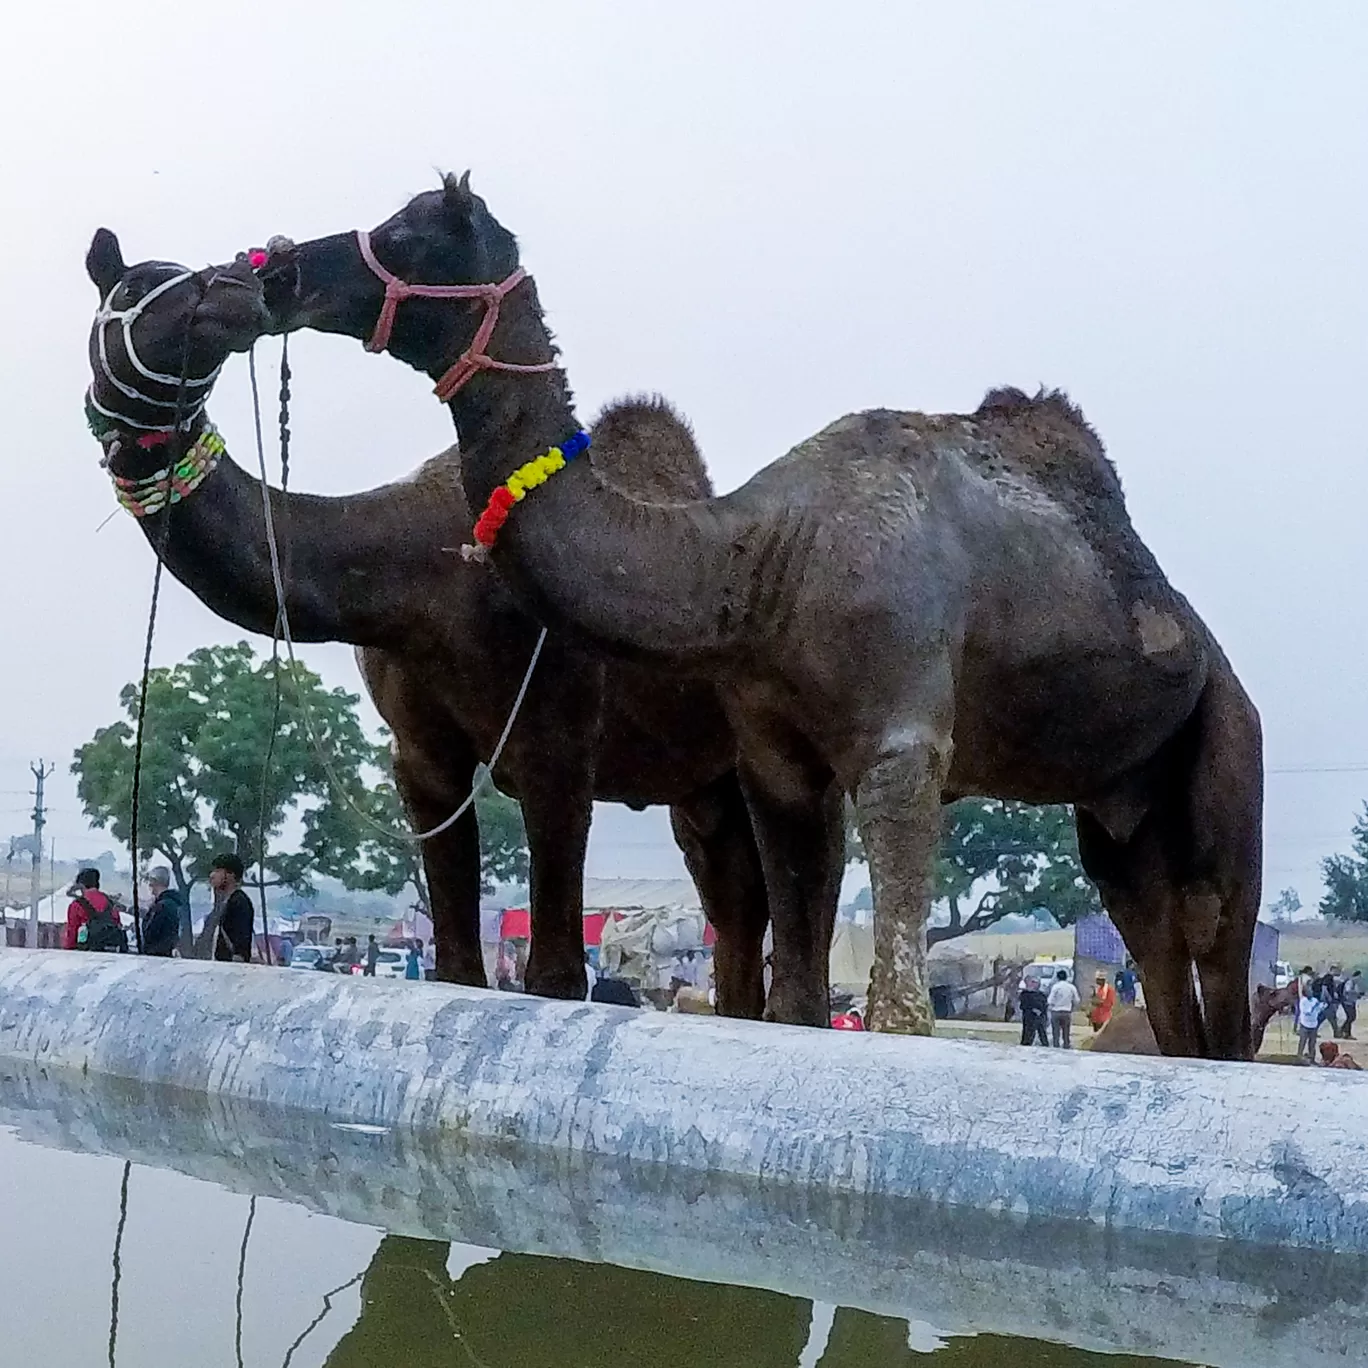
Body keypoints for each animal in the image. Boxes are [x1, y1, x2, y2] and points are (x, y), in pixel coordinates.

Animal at [85, 229, 771, 1017]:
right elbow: (457, 966)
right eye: (134, 287)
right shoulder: (421, 756)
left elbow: (556, 978)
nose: (236, 289)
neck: (420, 574)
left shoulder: (557, 742)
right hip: (700, 785)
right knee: (734, 902)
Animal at [254, 176, 1258, 1056]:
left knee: (1220, 941)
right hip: (1122, 805)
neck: (763, 557)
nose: (278, 266)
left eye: (411, 233)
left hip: (1228, 738)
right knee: (1154, 937)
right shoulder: (776, 757)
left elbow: (899, 1011)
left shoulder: (902, 739)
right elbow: (797, 998)